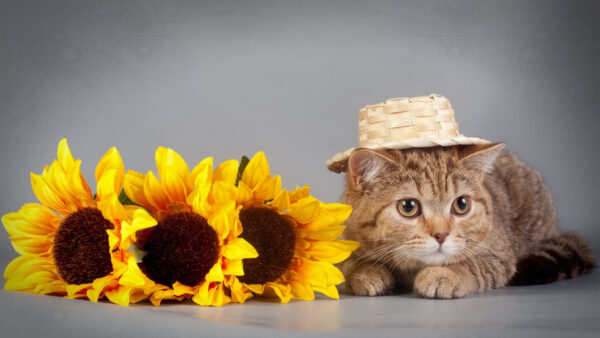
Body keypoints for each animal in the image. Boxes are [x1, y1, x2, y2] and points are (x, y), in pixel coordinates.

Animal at [342, 143, 596, 298]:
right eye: (408, 207)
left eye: (461, 205)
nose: (441, 235)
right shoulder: (350, 241)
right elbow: (353, 265)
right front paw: (368, 272)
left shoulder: (499, 256)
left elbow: (471, 266)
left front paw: (445, 275)